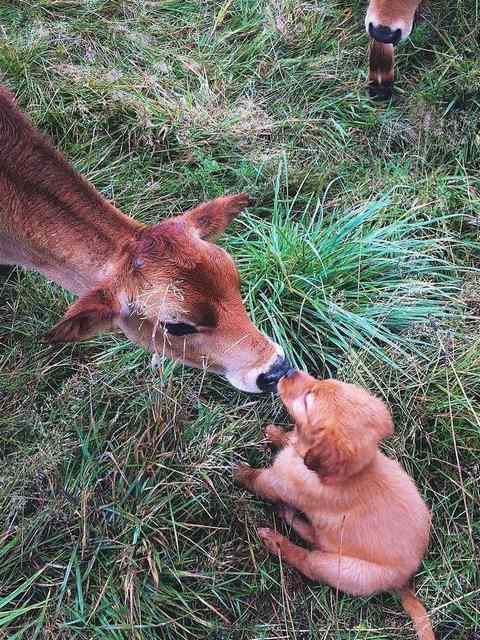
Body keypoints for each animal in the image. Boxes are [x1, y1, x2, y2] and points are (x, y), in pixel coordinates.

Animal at [234, 372, 434, 636]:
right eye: (320, 381)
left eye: (308, 400)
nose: (287, 372)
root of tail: (405, 582)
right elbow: (291, 439)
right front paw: (277, 434)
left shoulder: (276, 483)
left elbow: (255, 479)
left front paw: (237, 472)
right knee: (314, 536)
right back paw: (286, 514)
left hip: (337, 567)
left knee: (307, 559)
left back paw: (274, 540)